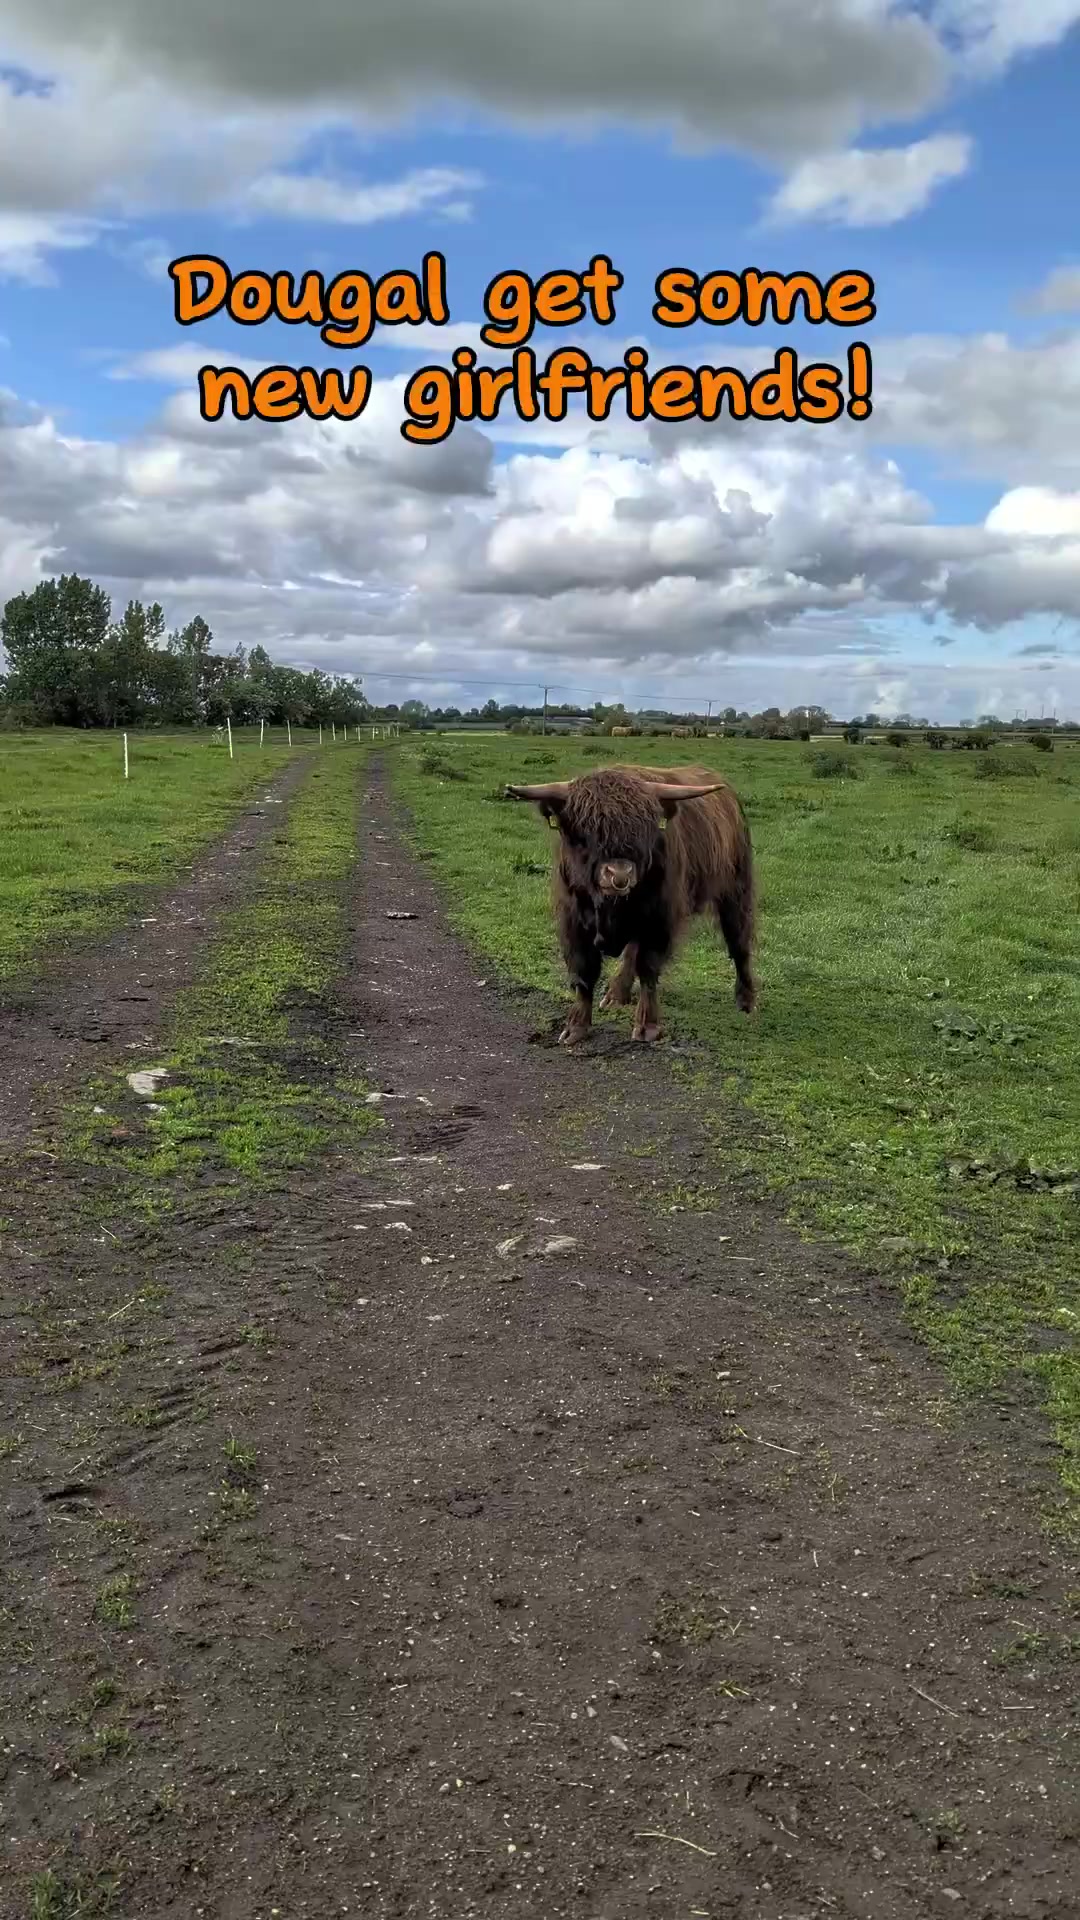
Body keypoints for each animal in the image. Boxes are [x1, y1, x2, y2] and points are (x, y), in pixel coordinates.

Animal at [505, 763, 756, 1046]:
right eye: (583, 834)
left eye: (644, 832)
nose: (619, 875)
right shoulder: (573, 920)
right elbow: (584, 972)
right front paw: (576, 1027)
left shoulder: (659, 920)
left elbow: (648, 969)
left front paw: (647, 1025)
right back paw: (616, 994)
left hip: (736, 889)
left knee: (739, 943)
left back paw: (746, 1000)